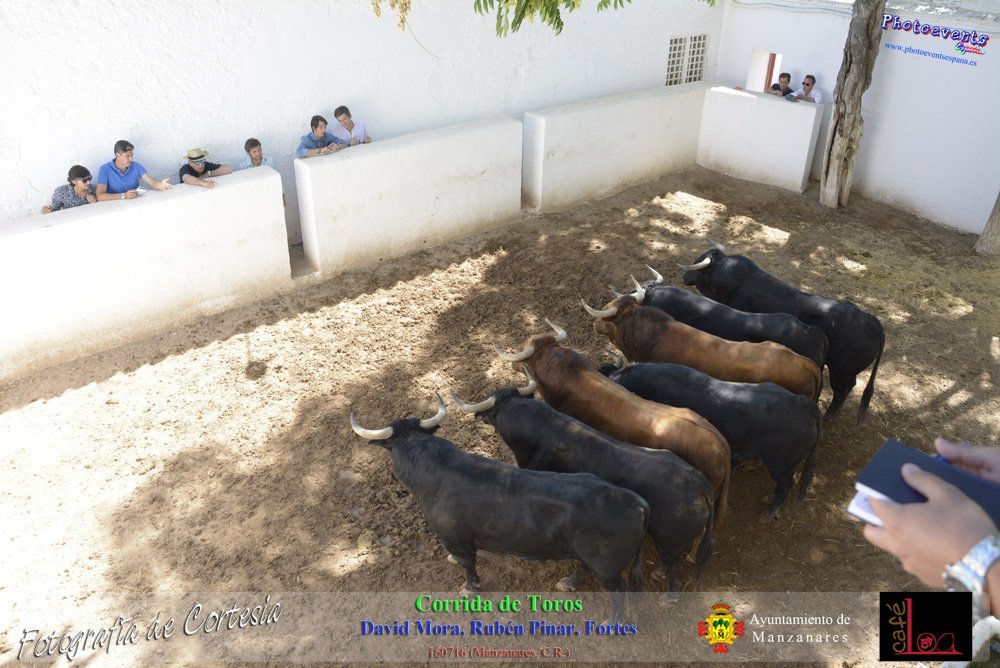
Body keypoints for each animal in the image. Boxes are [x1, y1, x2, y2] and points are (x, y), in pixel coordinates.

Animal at [350, 393, 649, 620]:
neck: (431, 467)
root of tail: (633, 501)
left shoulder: (456, 539)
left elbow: (468, 565)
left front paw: (469, 588)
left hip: (608, 568)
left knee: (619, 590)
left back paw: (613, 621)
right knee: (585, 568)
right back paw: (569, 583)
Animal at [678, 243, 885, 422]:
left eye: (699, 268)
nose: (685, 277)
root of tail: (872, 322)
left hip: (840, 370)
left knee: (841, 391)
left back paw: (827, 418)